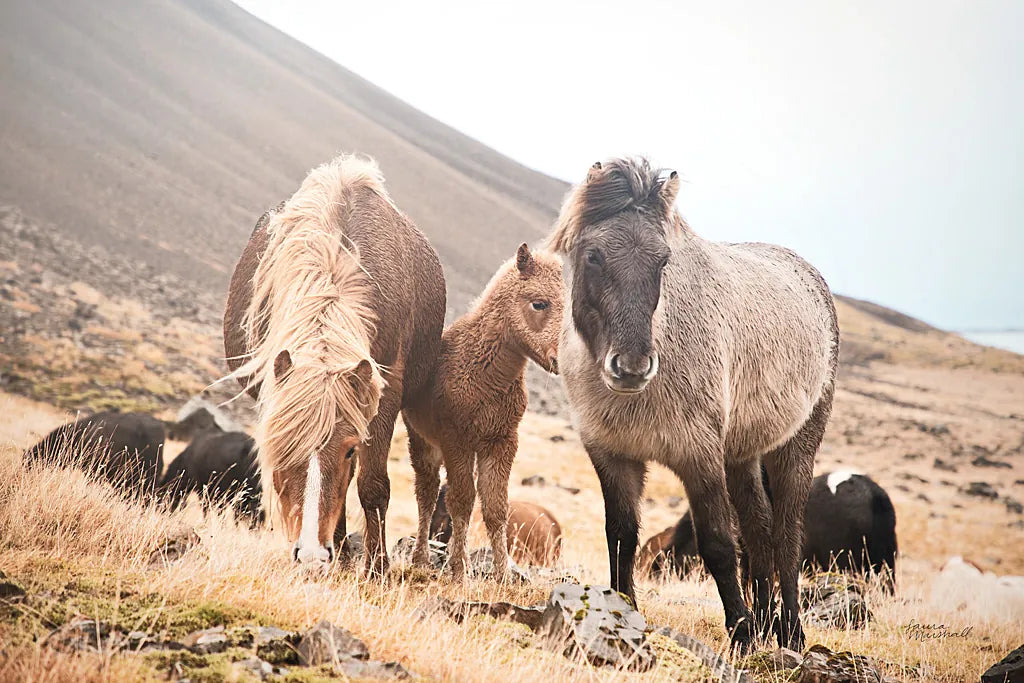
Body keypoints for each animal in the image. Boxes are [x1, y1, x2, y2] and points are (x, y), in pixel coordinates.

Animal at [223, 155, 445, 572]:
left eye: (347, 449)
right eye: (282, 445)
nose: (311, 555)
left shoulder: (384, 393)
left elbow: (372, 484)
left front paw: (378, 567)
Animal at [549, 157, 839, 651]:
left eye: (663, 260)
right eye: (594, 256)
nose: (632, 367)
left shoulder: (698, 456)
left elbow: (718, 544)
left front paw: (741, 633)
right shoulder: (613, 456)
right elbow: (620, 535)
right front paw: (622, 611)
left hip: (795, 449)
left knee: (785, 534)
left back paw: (790, 632)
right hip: (742, 455)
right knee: (759, 528)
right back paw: (768, 622)